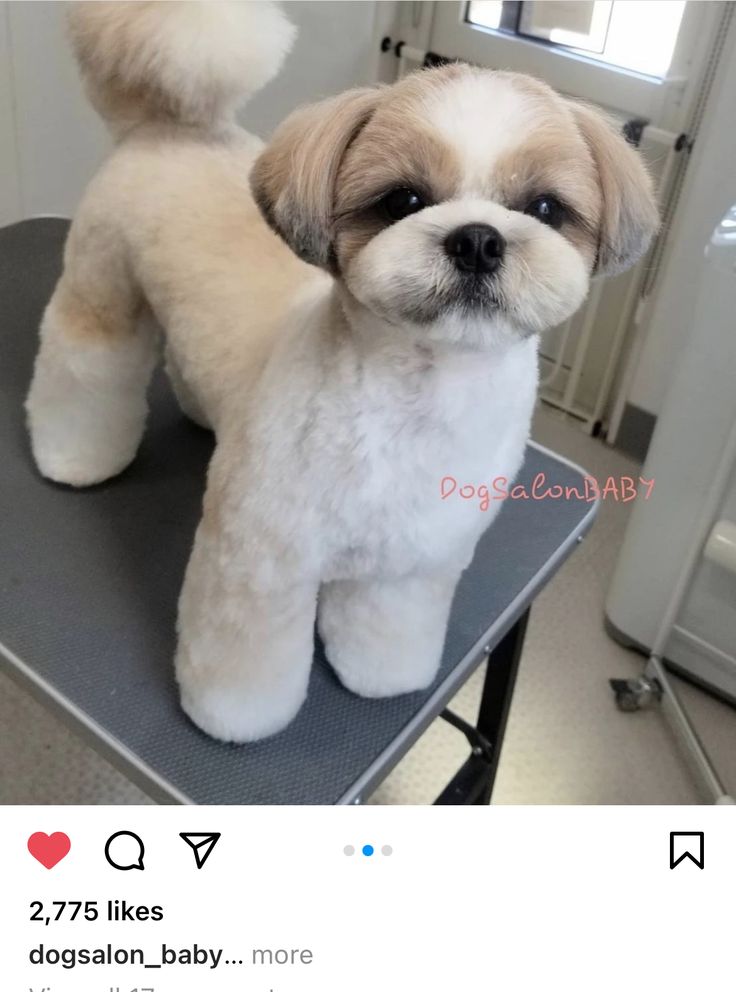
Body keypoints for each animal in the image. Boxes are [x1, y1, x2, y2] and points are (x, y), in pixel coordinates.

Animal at [24, 1, 660, 744]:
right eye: (403, 200)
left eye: (545, 208)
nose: (478, 239)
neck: (418, 401)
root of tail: (170, 127)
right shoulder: (260, 557)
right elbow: (246, 656)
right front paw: (235, 717)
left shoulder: (414, 560)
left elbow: (387, 623)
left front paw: (381, 674)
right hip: (103, 291)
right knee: (85, 368)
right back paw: (74, 456)